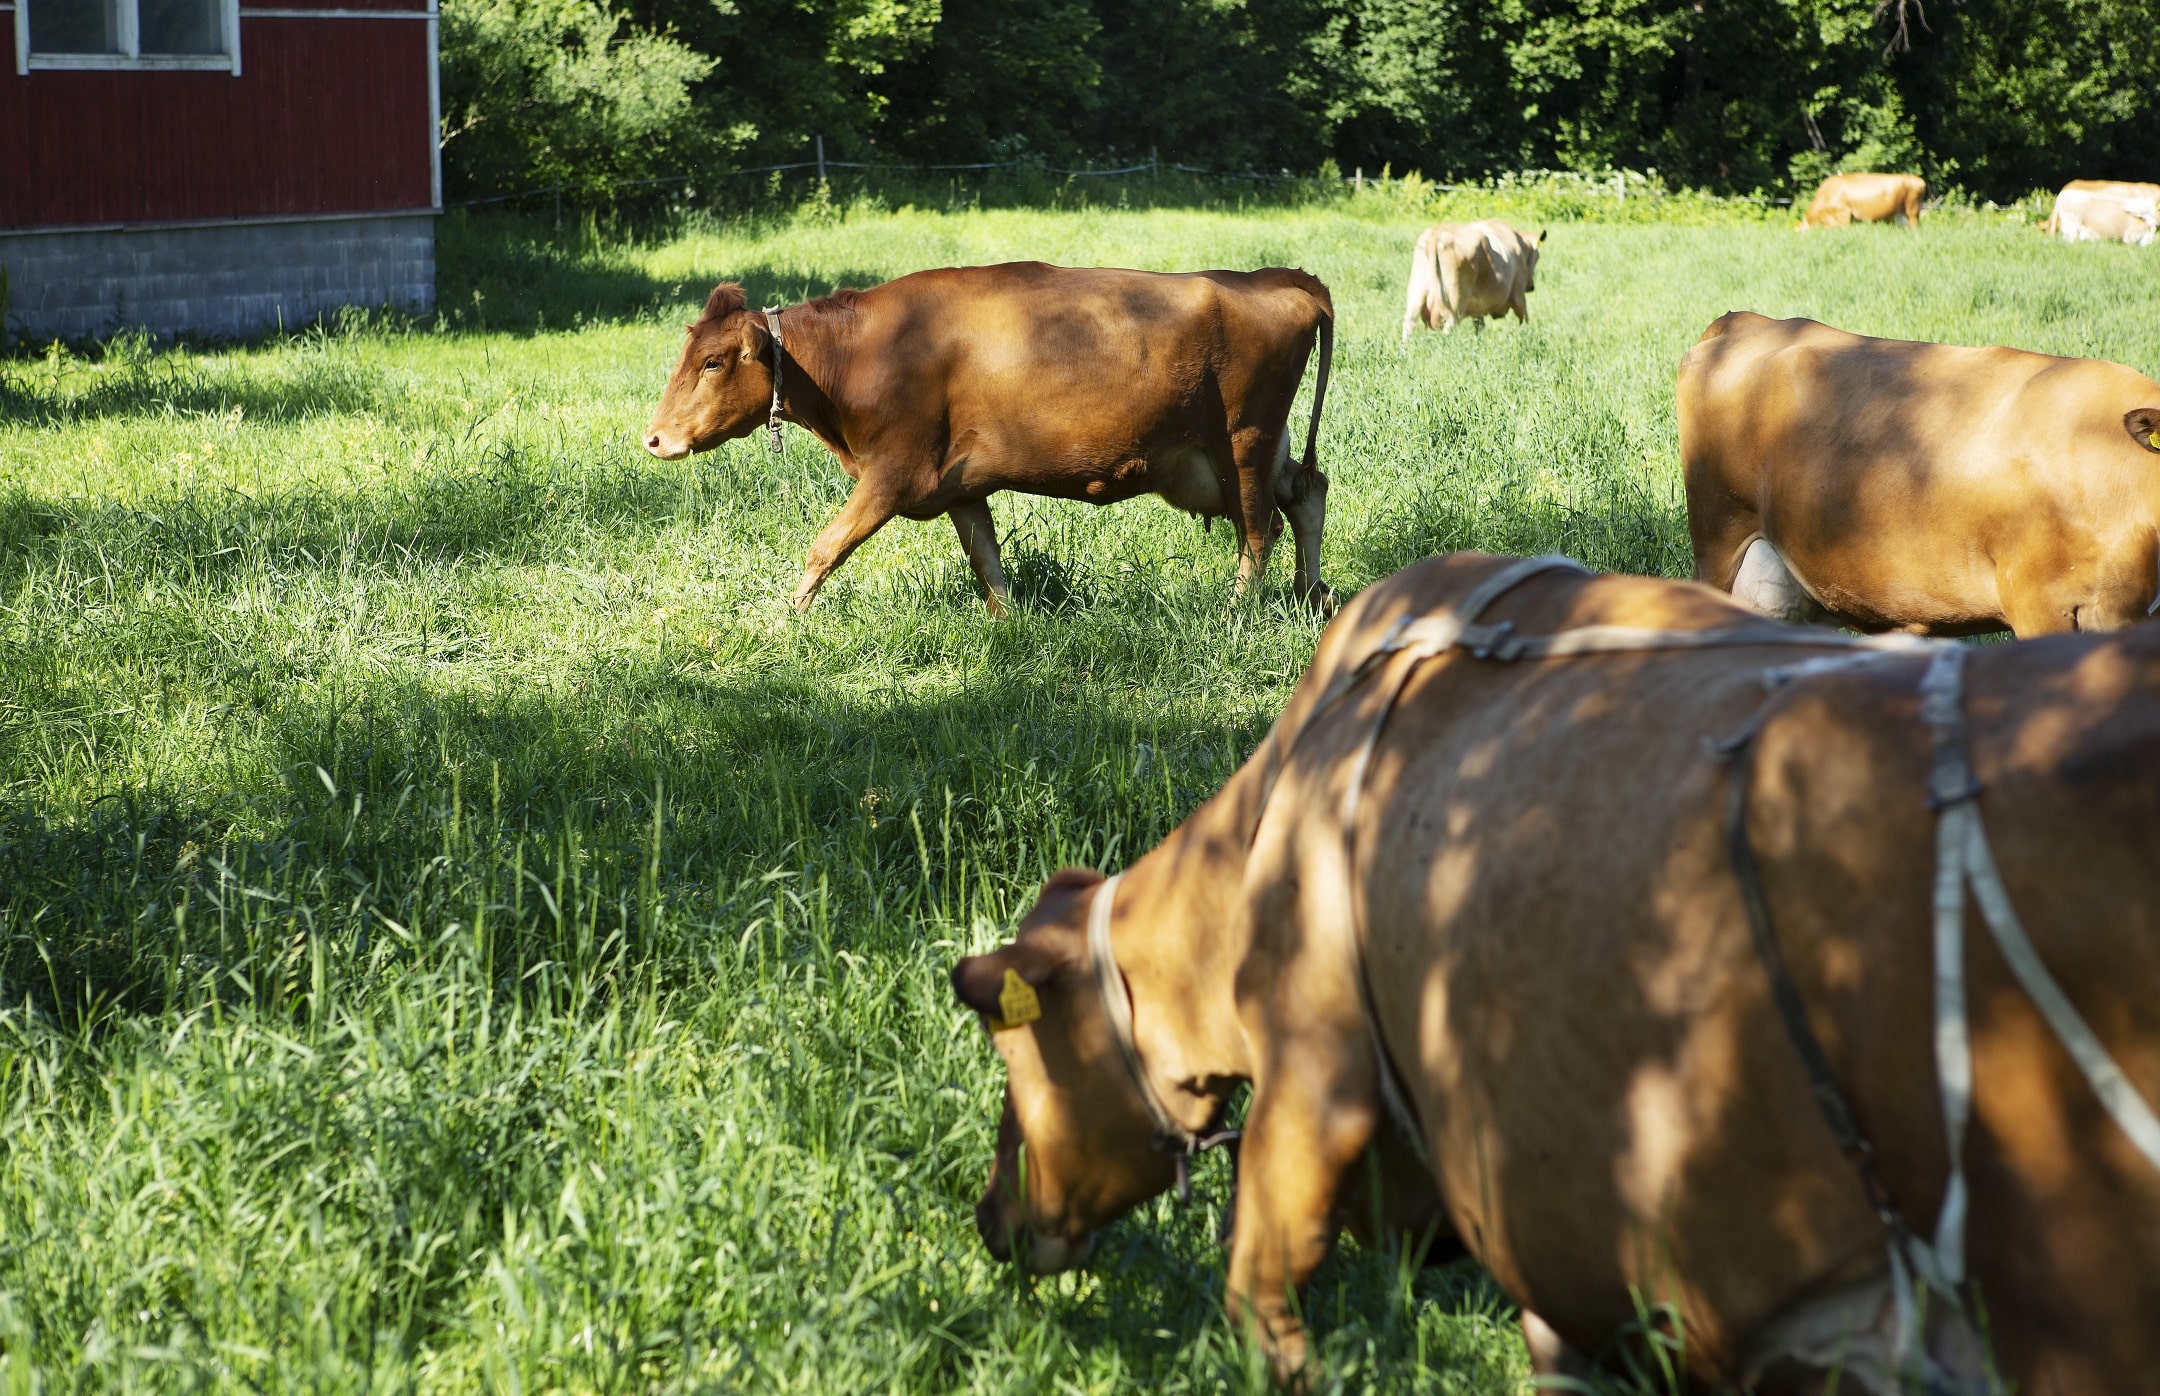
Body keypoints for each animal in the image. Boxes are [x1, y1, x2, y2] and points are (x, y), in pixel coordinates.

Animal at [639, 262, 1330, 613]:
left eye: (713, 362)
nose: (654, 439)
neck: (862, 353)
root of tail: (1275, 277)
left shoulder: (894, 473)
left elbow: (825, 547)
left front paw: (785, 620)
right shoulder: (959, 485)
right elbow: (987, 560)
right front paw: (1009, 626)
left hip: (1243, 442)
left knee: (1259, 528)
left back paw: (1239, 609)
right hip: (1250, 450)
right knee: (1306, 493)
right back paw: (1311, 592)